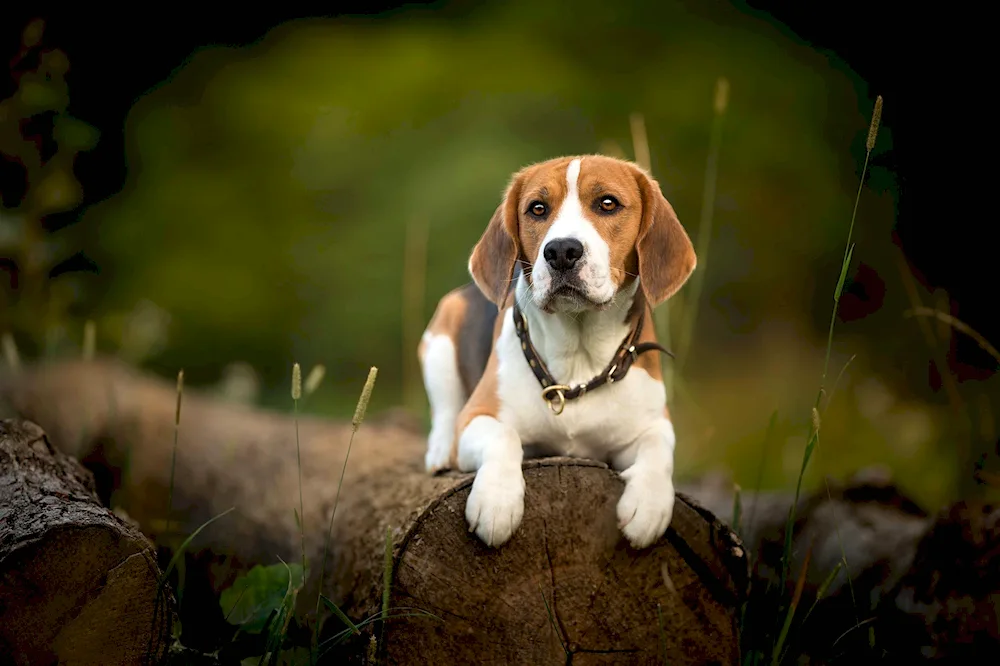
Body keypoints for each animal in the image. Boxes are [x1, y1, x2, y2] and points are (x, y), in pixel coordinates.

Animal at [418, 153, 692, 548]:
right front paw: (496, 500)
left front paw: (649, 505)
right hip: (440, 336)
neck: (578, 359)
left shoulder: (653, 423)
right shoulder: (478, 416)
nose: (561, 251)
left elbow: (659, 449)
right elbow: (503, 435)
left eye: (607, 203)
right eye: (537, 208)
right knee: (444, 409)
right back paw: (440, 450)